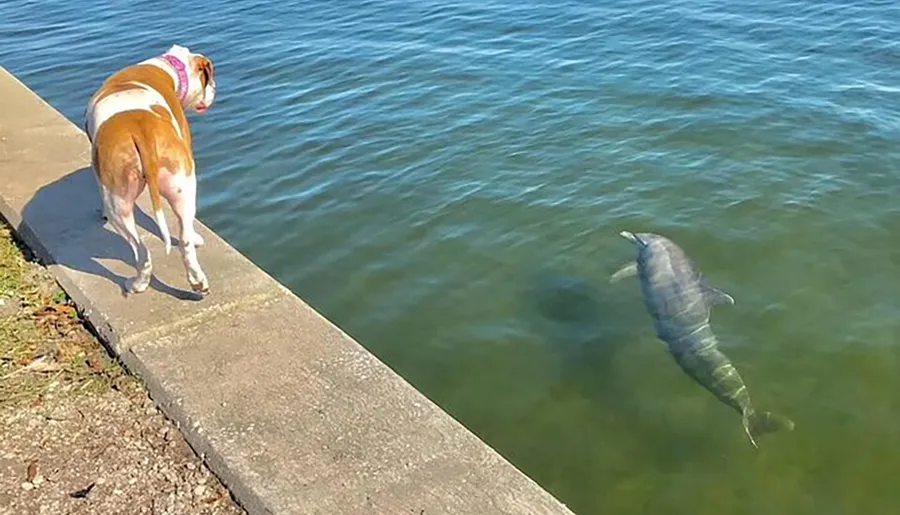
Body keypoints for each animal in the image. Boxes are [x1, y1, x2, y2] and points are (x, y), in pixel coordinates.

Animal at [85, 45, 218, 296]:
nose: (215, 89)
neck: (168, 69)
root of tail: (141, 131)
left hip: (118, 203)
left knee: (141, 250)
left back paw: (137, 284)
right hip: (182, 186)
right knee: (183, 239)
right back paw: (197, 281)